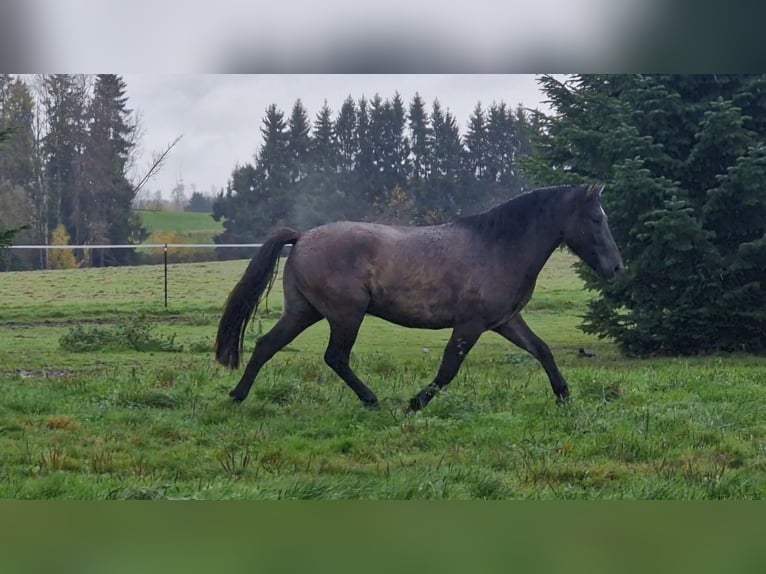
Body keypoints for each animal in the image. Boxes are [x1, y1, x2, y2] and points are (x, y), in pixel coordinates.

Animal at [215, 184, 624, 411]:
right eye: (597, 219)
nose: (617, 267)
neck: (497, 246)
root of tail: (300, 238)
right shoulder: (471, 324)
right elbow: (447, 370)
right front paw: (414, 404)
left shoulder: (505, 321)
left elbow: (542, 350)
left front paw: (564, 396)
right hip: (346, 314)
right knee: (335, 357)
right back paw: (372, 401)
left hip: (304, 312)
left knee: (267, 345)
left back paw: (237, 396)